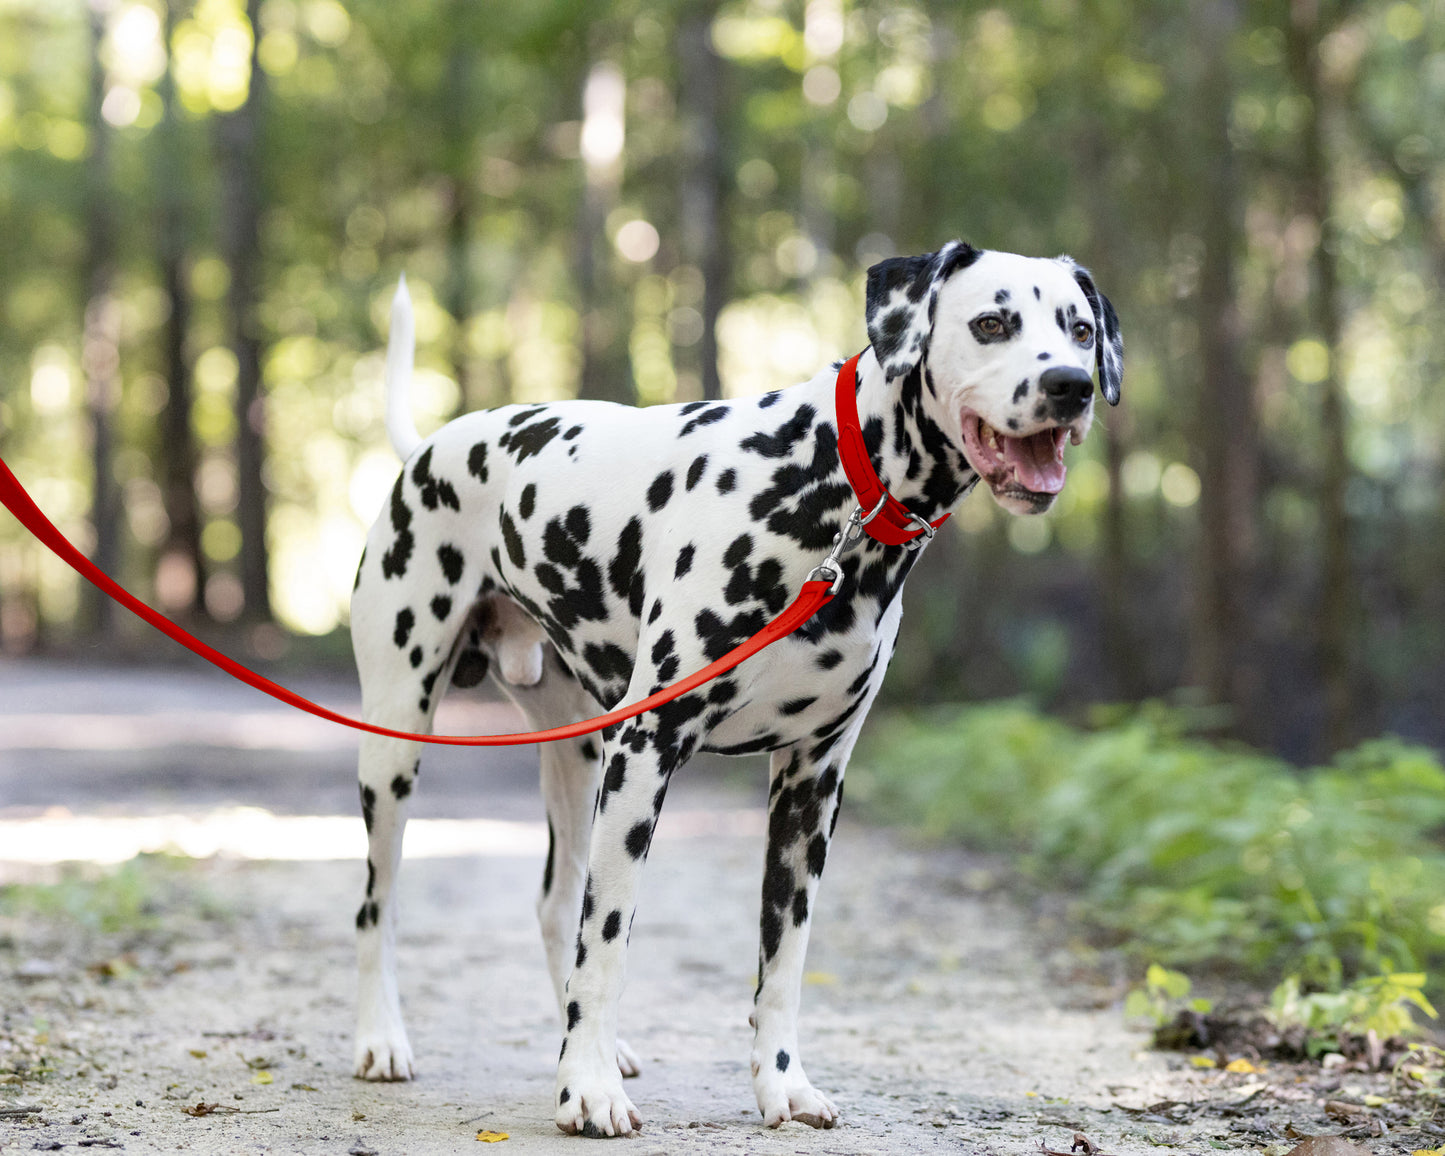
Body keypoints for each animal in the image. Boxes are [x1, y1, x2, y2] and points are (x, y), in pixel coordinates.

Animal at [346, 239, 1115, 1132]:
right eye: (991, 322)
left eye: (1079, 329)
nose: (1070, 385)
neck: (831, 489)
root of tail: (430, 447)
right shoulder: (646, 754)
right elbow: (609, 939)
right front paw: (587, 1091)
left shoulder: (810, 786)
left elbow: (782, 961)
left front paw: (780, 1084)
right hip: (397, 748)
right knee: (379, 905)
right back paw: (383, 1040)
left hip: (576, 757)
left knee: (554, 904)